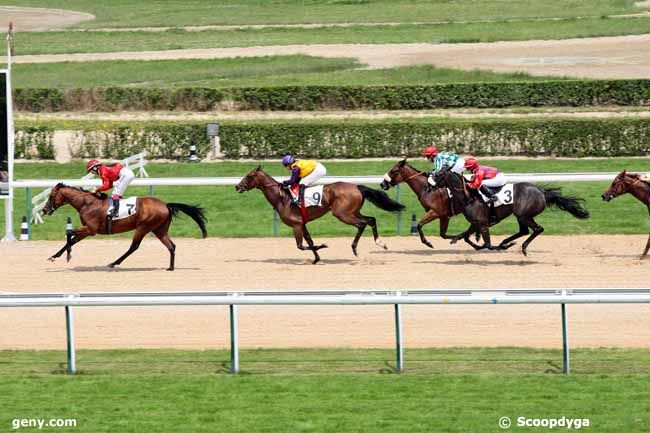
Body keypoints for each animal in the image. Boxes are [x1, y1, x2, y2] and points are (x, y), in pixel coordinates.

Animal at [41, 182, 205, 270]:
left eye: (51, 196)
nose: (44, 210)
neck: (87, 203)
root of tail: (165, 204)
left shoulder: (91, 230)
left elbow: (69, 234)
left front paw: (68, 255)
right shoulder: (87, 230)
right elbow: (72, 239)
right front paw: (54, 256)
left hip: (143, 227)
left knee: (134, 246)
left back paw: (114, 263)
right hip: (159, 230)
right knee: (171, 246)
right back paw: (170, 267)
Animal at [235, 165, 402, 262]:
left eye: (249, 175)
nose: (237, 186)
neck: (282, 198)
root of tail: (357, 187)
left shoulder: (296, 224)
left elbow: (301, 246)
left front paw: (323, 246)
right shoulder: (302, 223)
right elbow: (309, 241)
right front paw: (316, 258)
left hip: (342, 214)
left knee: (362, 224)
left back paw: (355, 249)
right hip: (353, 211)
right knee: (371, 219)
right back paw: (380, 243)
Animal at [436, 170, 588, 255]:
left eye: (437, 175)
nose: (430, 186)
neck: (469, 196)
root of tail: (542, 193)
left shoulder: (482, 223)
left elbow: (488, 245)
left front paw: (501, 247)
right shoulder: (475, 223)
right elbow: (467, 237)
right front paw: (456, 239)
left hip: (524, 215)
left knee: (537, 229)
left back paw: (522, 247)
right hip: (521, 216)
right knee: (524, 231)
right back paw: (507, 242)